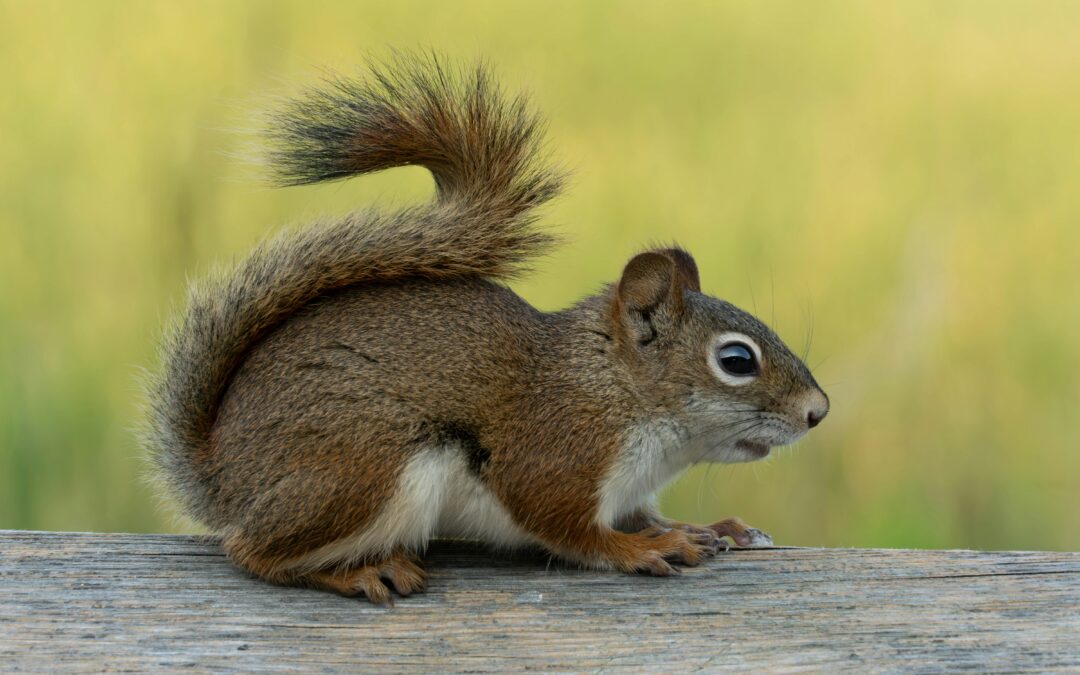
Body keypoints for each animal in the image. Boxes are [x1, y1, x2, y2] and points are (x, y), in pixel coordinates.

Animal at [145, 55, 829, 604]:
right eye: (736, 361)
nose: (817, 412)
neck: (619, 390)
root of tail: (222, 477)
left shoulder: (627, 487)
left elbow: (639, 515)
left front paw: (701, 529)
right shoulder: (555, 450)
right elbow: (568, 527)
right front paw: (642, 550)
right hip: (363, 471)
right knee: (253, 553)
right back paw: (360, 571)